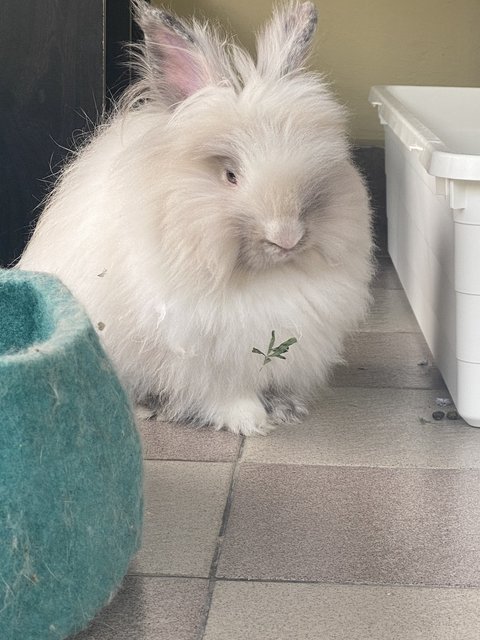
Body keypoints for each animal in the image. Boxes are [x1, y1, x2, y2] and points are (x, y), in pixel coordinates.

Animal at [18, 0, 374, 436]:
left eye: (318, 171)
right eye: (231, 175)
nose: (287, 237)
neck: (259, 278)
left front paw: (284, 409)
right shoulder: (202, 355)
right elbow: (224, 392)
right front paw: (250, 421)